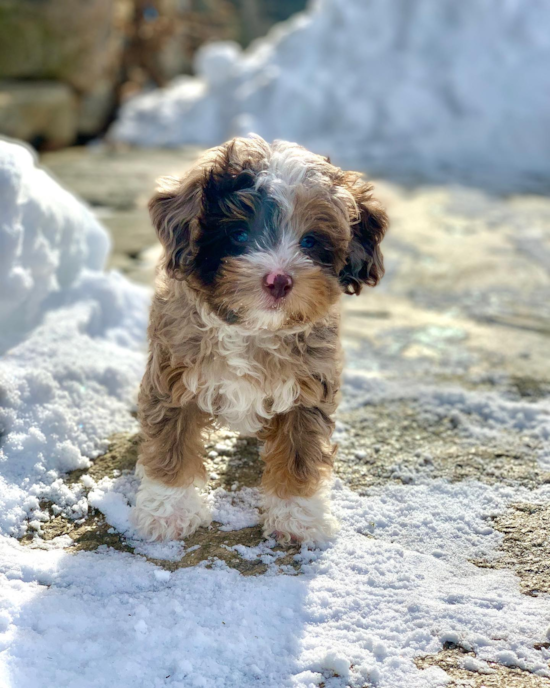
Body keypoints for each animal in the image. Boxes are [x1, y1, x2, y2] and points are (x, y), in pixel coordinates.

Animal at [132, 136, 390, 544]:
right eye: (239, 235)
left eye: (310, 241)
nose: (279, 280)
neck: (253, 329)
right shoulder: (173, 373)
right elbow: (171, 441)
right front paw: (168, 511)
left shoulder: (308, 386)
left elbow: (300, 453)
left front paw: (298, 516)